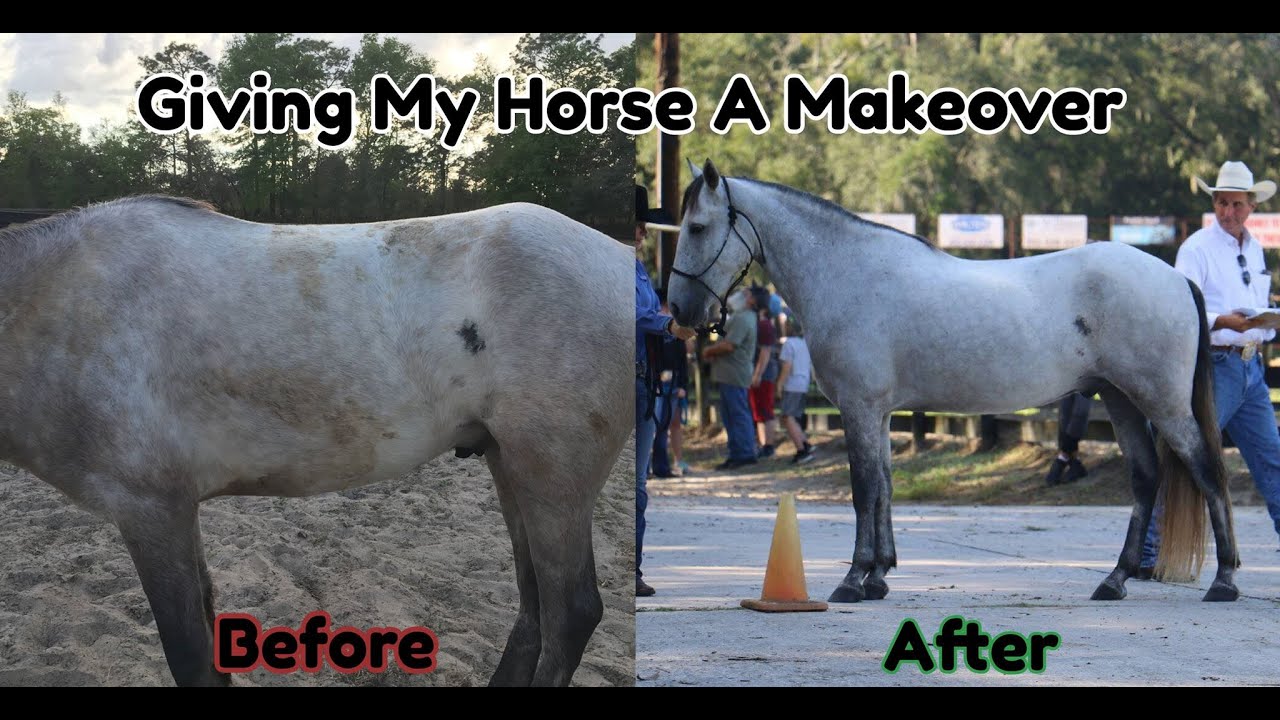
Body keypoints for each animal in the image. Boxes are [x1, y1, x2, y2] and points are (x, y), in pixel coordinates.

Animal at [0, 195, 632, 686]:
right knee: (534, 607)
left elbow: (190, 656)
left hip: (553, 477)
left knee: (571, 614)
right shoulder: (174, 514)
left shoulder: (150, 509)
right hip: (511, 464)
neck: (61, 305)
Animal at [667, 159, 1241, 605]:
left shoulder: (859, 407)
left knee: (1208, 471)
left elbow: (863, 490)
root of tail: (1175, 276)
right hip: (1120, 400)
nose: (679, 311)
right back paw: (1115, 579)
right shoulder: (879, 413)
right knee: (1146, 479)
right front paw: (879, 576)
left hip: (1162, 403)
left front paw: (853, 579)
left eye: (696, 227)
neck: (848, 274)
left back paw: (1225, 581)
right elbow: (884, 487)